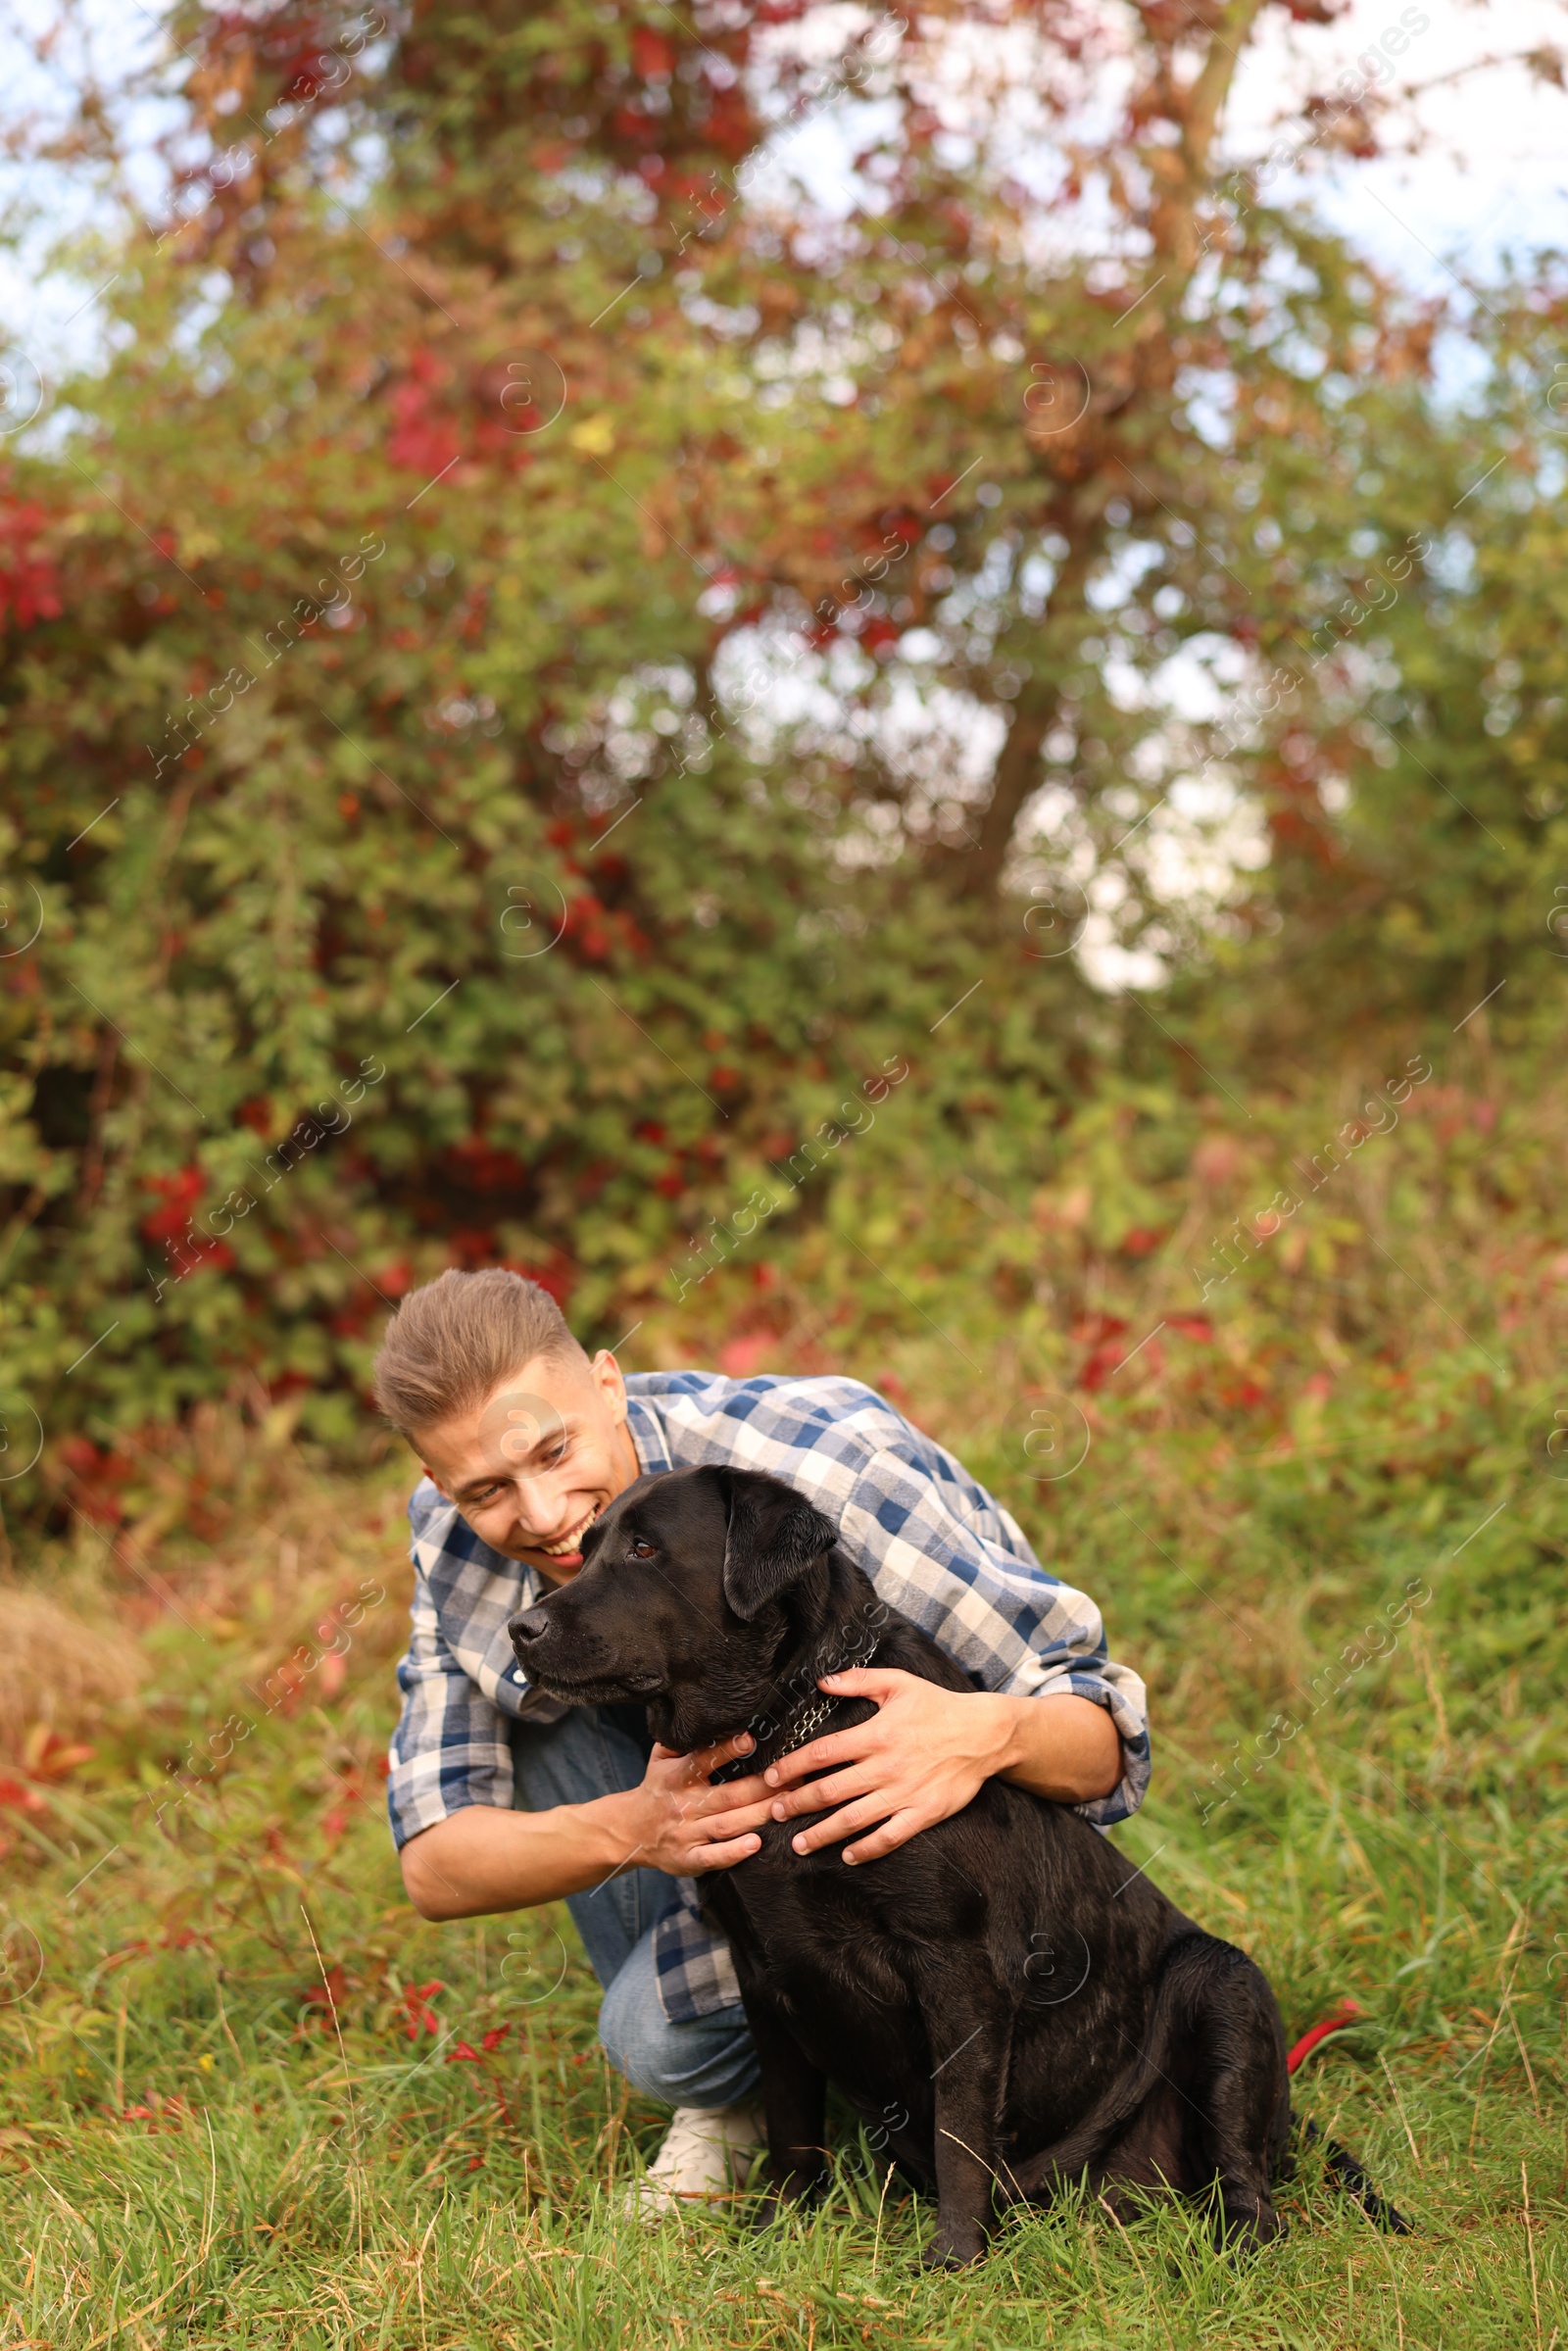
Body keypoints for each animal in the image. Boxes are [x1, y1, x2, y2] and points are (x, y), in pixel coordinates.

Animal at [510, 1466, 1400, 2257]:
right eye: (584, 1549)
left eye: (646, 1549)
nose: (524, 1629)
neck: (786, 1728)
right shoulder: (762, 1975)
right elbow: (793, 2125)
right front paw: (779, 2231)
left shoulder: (959, 1967)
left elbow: (960, 2128)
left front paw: (955, 2256)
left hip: (1224, 1987)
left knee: (1247, 2186)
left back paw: (1230, 2249)